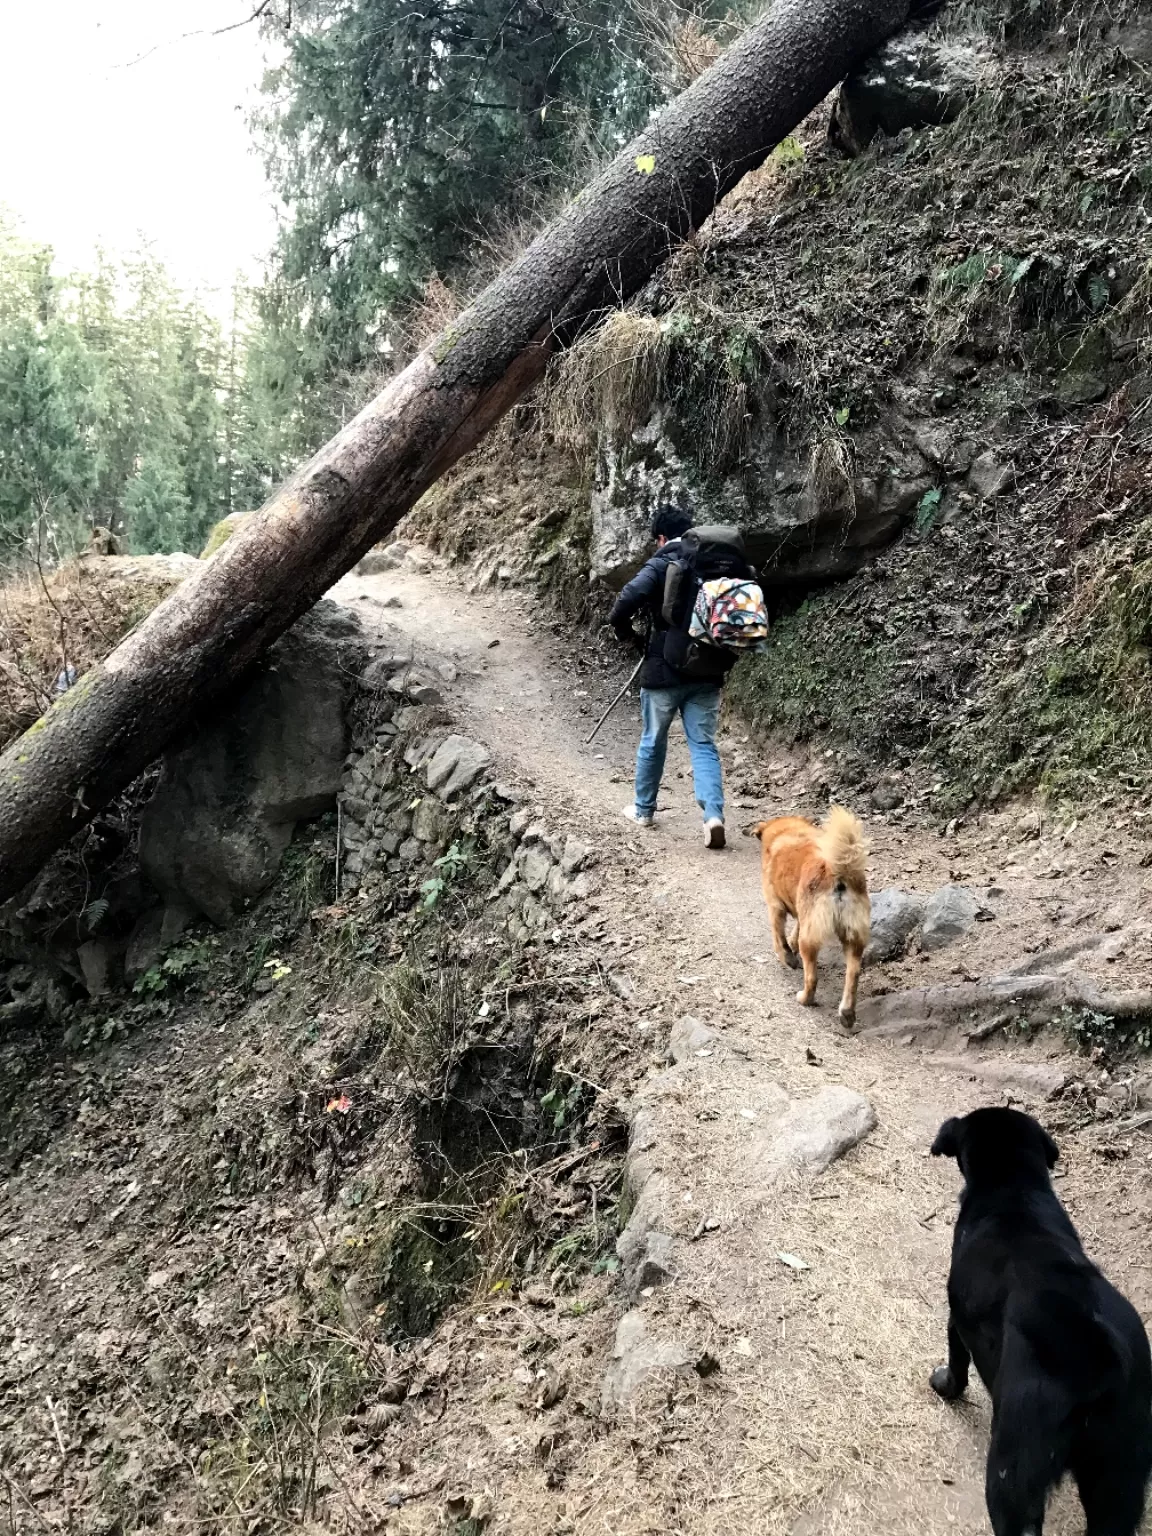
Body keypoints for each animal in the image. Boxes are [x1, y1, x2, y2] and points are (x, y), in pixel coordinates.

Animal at [752, 804, 872, 1032]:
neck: (789, 833)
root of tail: (838, 872)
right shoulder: (802, 915)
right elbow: (795, 929)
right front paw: (791, 946)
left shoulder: (775, 907)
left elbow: (779, 940)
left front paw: (787, 957)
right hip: (853, 938)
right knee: (853, 976)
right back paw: (847, 1014)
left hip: (811, 941)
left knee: (811, 977)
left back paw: (804, 998)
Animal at [933, 1112, 1148, 1529]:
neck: (1012, 1187)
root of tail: (1102, 1355)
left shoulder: (957, 1320)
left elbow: (957, 1364)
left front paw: (944, 1386)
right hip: (1119, 1479)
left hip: (1013, 1468)